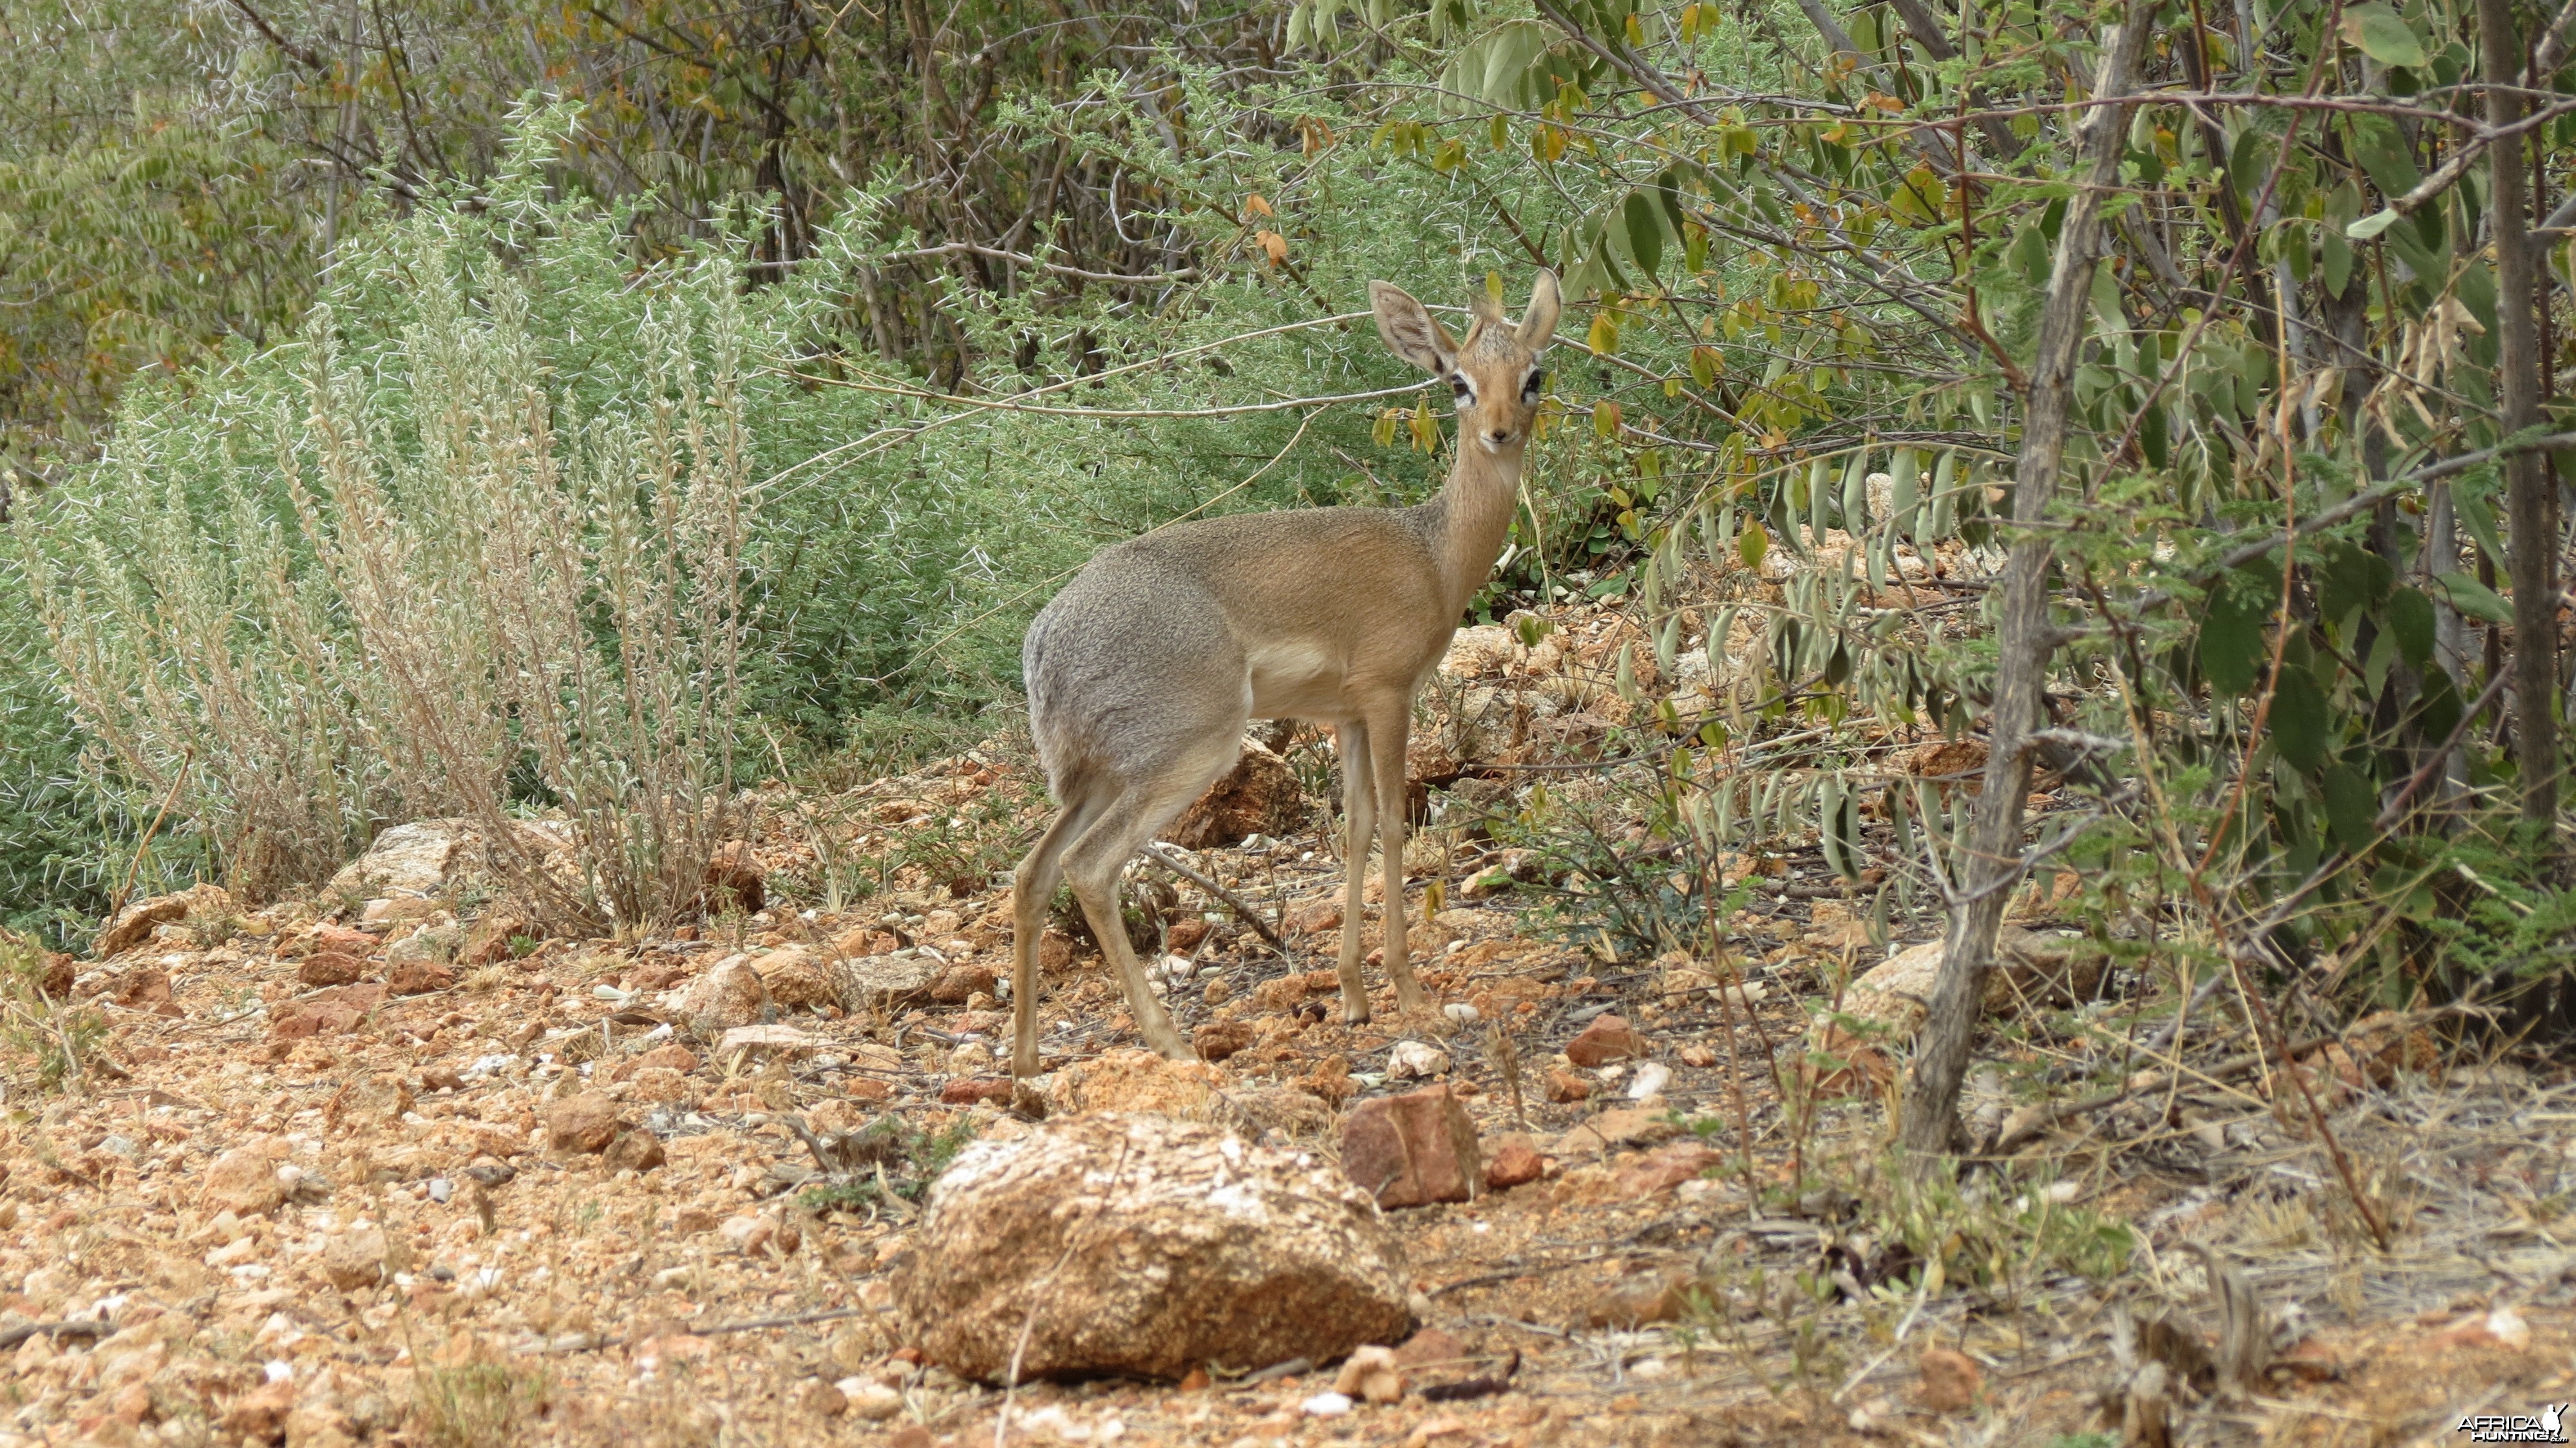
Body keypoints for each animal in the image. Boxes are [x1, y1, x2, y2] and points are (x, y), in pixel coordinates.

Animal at [1015, 271, 1556, 1072]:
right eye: (1456, 380)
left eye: (1532, 376)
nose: (1498, 431)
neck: (1434, 555)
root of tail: (1044, 642)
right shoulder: (1389, 696)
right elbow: (1393, 824)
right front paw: (1412, 994)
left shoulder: (1347, 715)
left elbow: (1355, 829)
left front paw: (1355, 995)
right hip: (1189, 756)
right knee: (1089, 868)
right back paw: (1171, 1043)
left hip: (1101, 778)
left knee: (1034, 872)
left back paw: (1025, 1064)